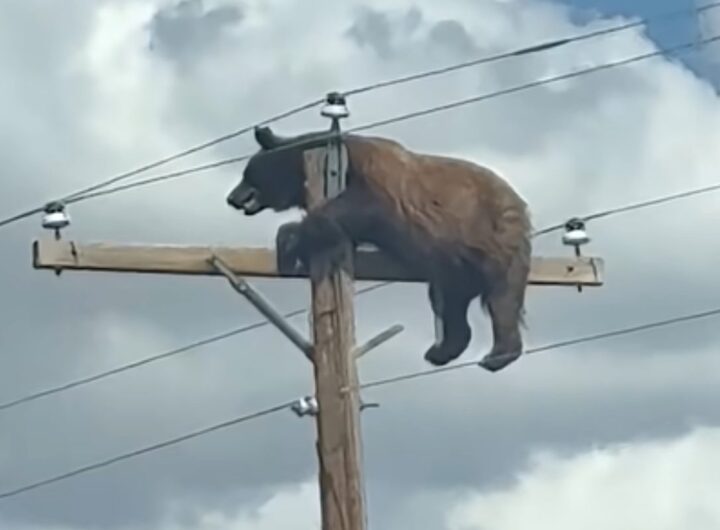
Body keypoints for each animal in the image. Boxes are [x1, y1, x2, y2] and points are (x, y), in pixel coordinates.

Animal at [226, 125, 532, 372]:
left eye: (246, 173)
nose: (232, 198)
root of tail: (519, 203)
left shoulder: (374, 180)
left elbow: (358, 207)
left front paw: (288, 240)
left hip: (492, 234)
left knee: (502, 295)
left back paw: (497, 354)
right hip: (454, 264)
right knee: (451, 302)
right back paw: (441, 350)